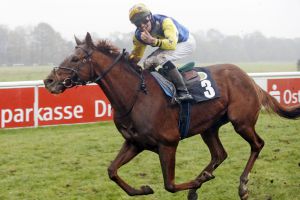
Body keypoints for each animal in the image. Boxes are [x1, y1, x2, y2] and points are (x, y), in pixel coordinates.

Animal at [43, 32, 298, 199]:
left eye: (75, 59)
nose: (49, 81)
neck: (136, 96)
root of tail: (249, 79)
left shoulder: (168, 143)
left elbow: (170, 184)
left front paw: (199, 180)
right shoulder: (135, 142)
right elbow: (112, 171)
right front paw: (143, 189)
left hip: (241, 122)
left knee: (257, 144)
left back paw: (241, 186)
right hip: (209, 127)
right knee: (219, 154)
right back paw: (199, 184)